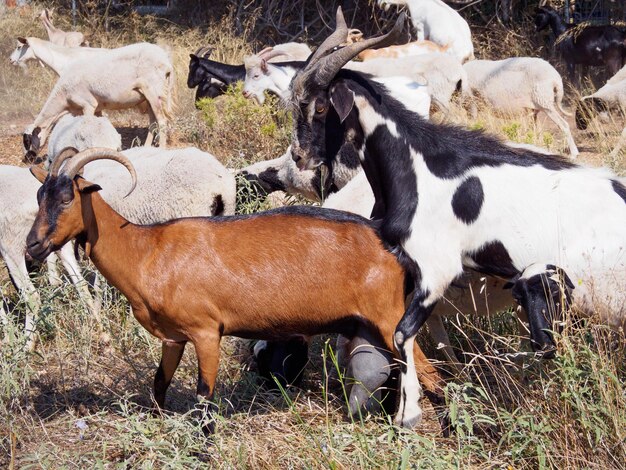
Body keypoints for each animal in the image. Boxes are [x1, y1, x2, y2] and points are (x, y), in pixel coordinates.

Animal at [22, 41, 173, 153]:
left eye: (28, 140)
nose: (27, 159)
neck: (63, 99)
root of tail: (166, 60)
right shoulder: (97, 108)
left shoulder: (88, 104)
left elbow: (87, 127)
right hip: (148, 97)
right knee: (153, 123)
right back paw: (146, 148)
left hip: (154, 91)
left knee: (162, 121)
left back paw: (162, 149)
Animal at [25, 151, 444, 434]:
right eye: (38, 197)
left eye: (67, 198)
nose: (32, 246)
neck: (146, 250)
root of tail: (390, 245)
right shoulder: (174, 338)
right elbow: (159, 383)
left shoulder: (207, 332)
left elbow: (204, 400)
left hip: (388, 317)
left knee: (428, 371)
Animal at [286, 9, 624, 428]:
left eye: (320, 106)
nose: (300, 156)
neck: (414, 165)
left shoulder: (437, 269)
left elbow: (401, 334)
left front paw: (410, 412)